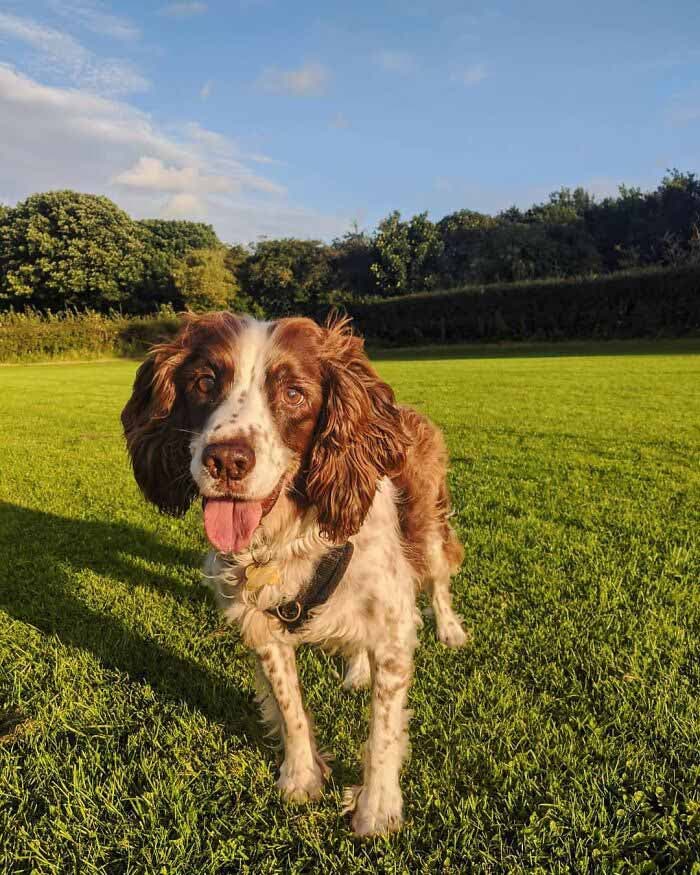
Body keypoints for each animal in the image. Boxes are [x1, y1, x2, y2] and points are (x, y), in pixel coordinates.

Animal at [122, 312, 468, 840]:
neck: (292, 535)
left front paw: (376, 808)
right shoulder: (261, 624)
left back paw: (450, 630)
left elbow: (383, 732)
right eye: (204, 383)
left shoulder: (392, 628)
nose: (226, 460)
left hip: (427, 528)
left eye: (293, 394)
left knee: (439, 578)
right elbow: (291, 710)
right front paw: (302, 777)